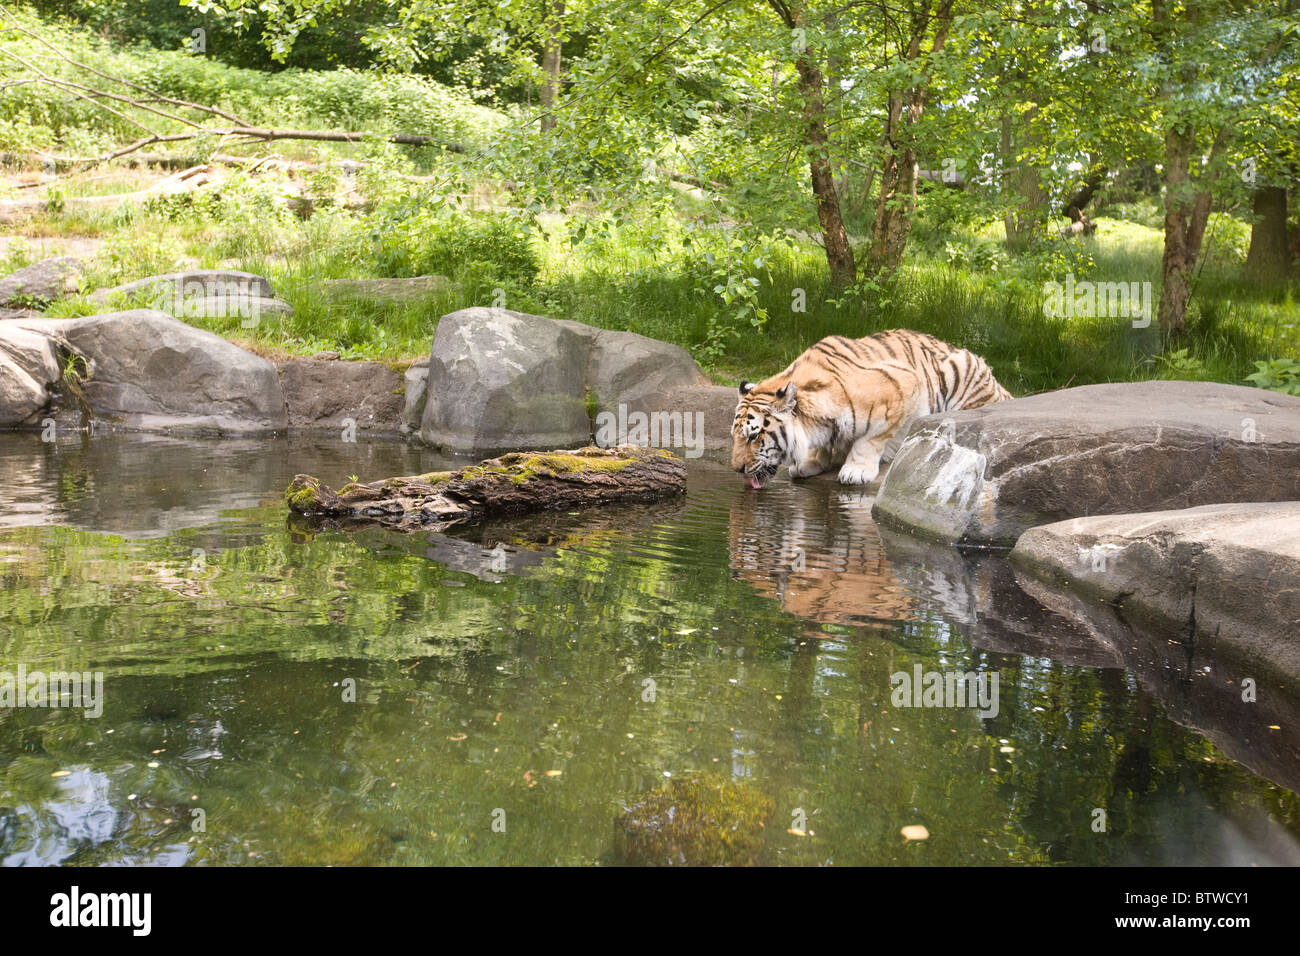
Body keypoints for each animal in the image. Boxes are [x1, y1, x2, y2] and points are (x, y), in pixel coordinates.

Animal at [733, 332, 1013, 489]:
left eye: (754, 436)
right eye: (735, 437)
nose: (737, 469)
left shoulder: (904, 384)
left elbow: (870, 440)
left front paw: (855, 470)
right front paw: (811, 461)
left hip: (961, 371)